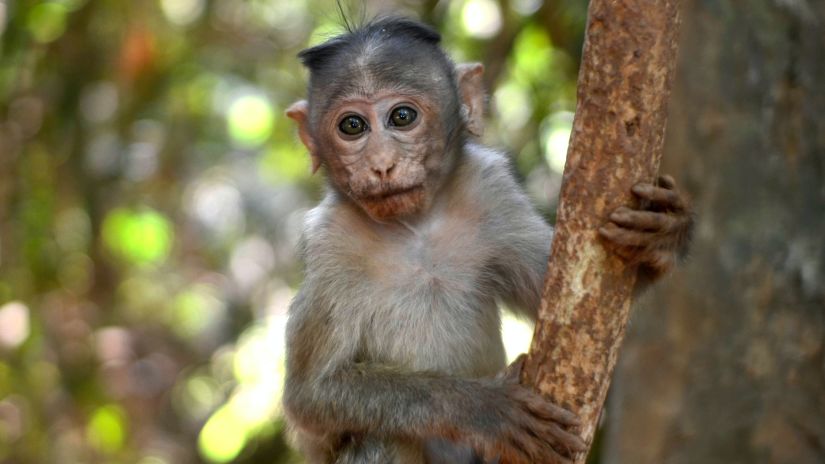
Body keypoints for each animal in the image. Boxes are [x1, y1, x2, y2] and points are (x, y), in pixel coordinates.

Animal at [282, 17, 688, 464]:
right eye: (352, 126)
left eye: (402, 117)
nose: (382, 165)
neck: (415, 228)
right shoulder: (329, 241)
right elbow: (311, 395)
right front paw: (485, 410)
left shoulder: (491, 189)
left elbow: (572, 303)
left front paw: (663, 233)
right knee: (380, 439)